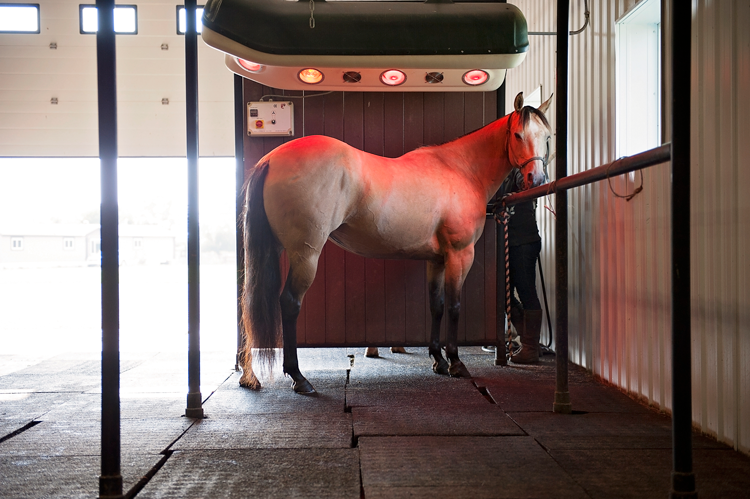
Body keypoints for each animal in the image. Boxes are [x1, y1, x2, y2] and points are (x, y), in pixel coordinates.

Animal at [241, 91, 552, 394]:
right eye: (518, 135)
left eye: (547, 136)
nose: (535, 179)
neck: (461, 170)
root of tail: (271, 159)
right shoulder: (460, 255)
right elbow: (454, 306)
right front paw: (455, 362)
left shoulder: (436, 260)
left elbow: (437, 305)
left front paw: (438, 360)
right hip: (305, 255)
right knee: (289, 303)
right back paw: (299, 377)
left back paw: (252, 377)